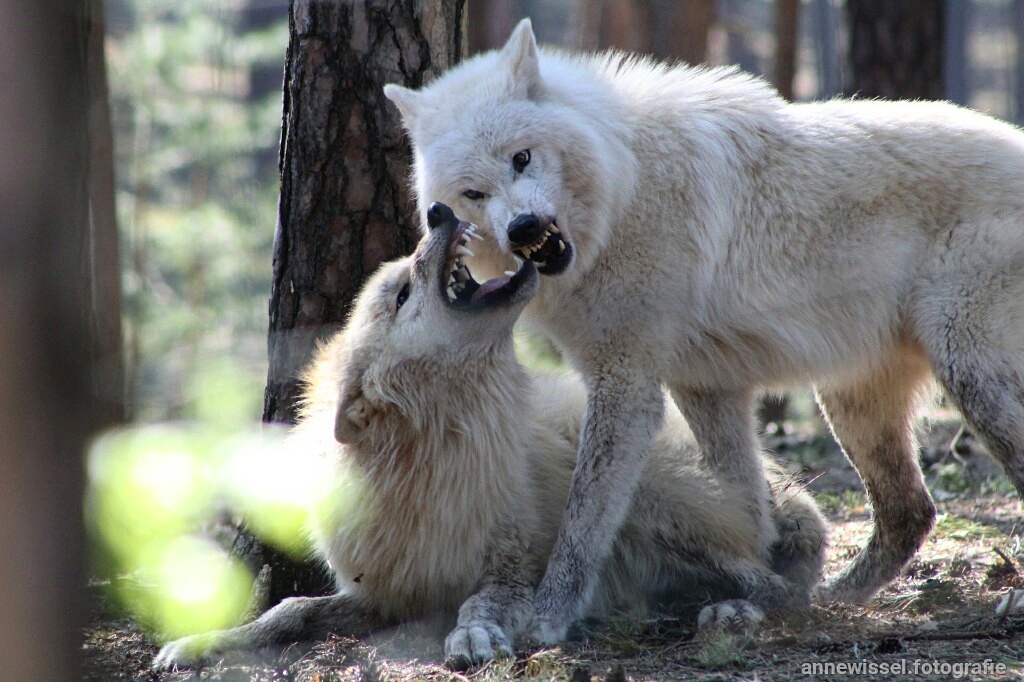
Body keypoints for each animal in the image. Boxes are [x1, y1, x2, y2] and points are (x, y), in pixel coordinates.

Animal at [149, 202, 823, 667]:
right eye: (401, 293)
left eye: (405, 276)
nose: (439, 212)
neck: (430, 460)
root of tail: (780, 483)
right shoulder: (389, 591)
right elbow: (291, 609)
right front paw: (204, 640)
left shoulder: (510, 569)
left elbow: (482, 602)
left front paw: (474, 634)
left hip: (652, 498)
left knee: (778, 586)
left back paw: (732, 610)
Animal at [382, 18, 1024, 638]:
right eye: (473, 192)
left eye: (521, 157)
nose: (523, 228)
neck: (625, 190)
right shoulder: (706, 387)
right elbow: (742, 506)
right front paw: (758, 598)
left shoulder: (628, 385)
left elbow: (583, 519)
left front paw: (548, 616)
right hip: (850, 402)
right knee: (910, 511)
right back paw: (833, 600)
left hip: (967, 375)